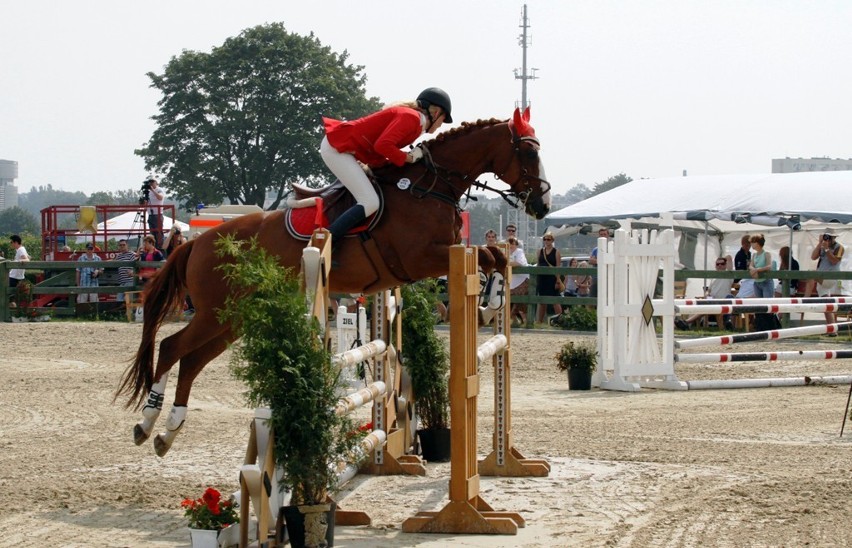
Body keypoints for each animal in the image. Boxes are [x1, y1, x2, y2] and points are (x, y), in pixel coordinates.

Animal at [116, 106, 548, 454]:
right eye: (529, 151)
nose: (542, 204)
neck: (430, 187)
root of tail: (196, 242)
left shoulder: (447, 252)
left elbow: (494, 257)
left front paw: (492, 302)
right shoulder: (422, 258)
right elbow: (486, 256)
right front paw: (490, 301)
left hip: (231, 318)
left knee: (191, 361)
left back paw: (167, 433)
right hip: (214, 312)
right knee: (172, 348)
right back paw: (147, 423)